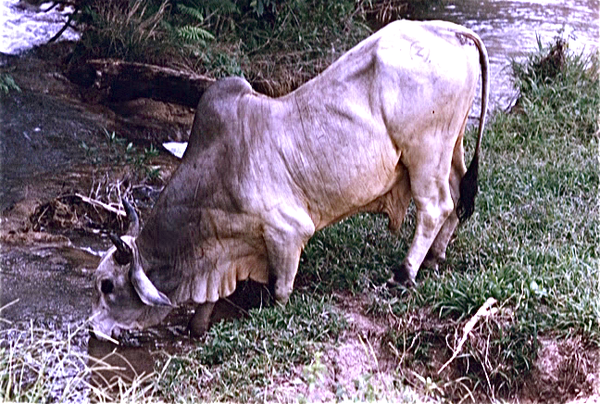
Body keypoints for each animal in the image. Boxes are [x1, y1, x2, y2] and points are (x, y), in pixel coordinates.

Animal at [92, 20, 488, 340]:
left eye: (107, 285)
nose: (93, 329)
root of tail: (447, 30)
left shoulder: (287, 233)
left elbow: (280, 291)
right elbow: (207, 306)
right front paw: (197, 328)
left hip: (425, 153)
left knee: (435, 207)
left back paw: (404, 274)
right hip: (451, 147)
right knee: (456, 197)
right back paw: (434, 257)